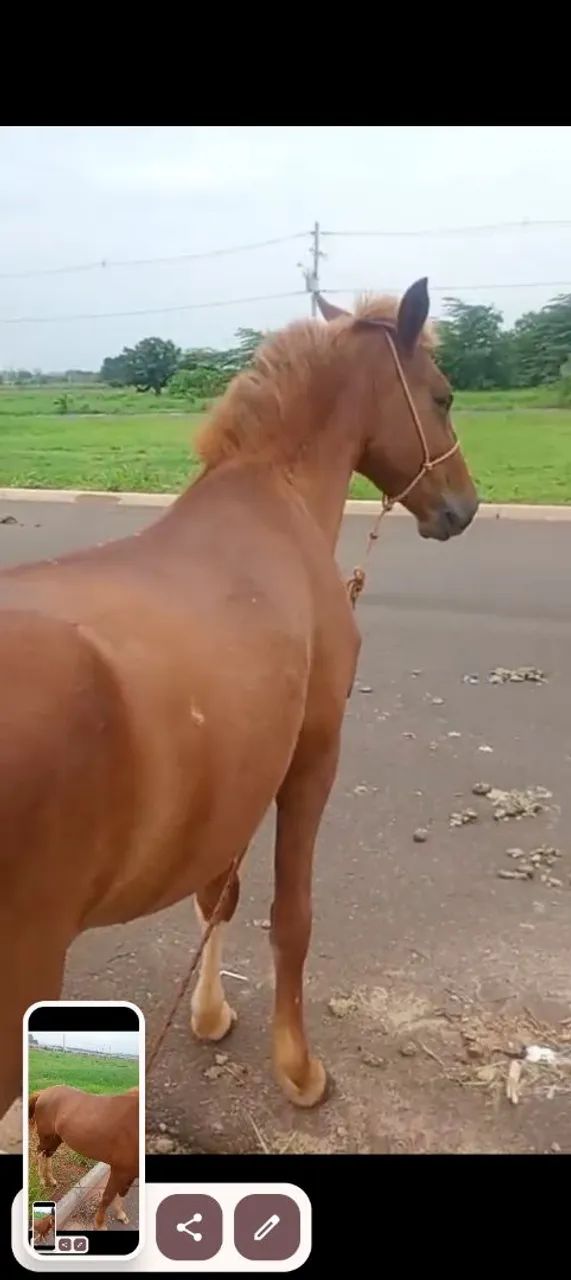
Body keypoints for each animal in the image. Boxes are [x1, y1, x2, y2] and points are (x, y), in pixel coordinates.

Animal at [0, 278, 478, 1118]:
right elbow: (290, 916)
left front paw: (209, 1013)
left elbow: (216, 895)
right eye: (442, 396)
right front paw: (297, 1067)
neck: (272, 499)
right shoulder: (311, 755)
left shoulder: (237, 775)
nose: (463, 506)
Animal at [29, 1086, 138, 1230]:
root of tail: (43, 1093)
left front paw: (120, 1215)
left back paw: (52, 1180)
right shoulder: (120, 1170)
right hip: (46, 1136)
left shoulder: (128, 1172)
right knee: (40, 1153)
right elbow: (108, 1197)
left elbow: (121, 1193)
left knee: (47, 1155)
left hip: (55, 1139)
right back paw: (42, 1180)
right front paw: (100, 1224)